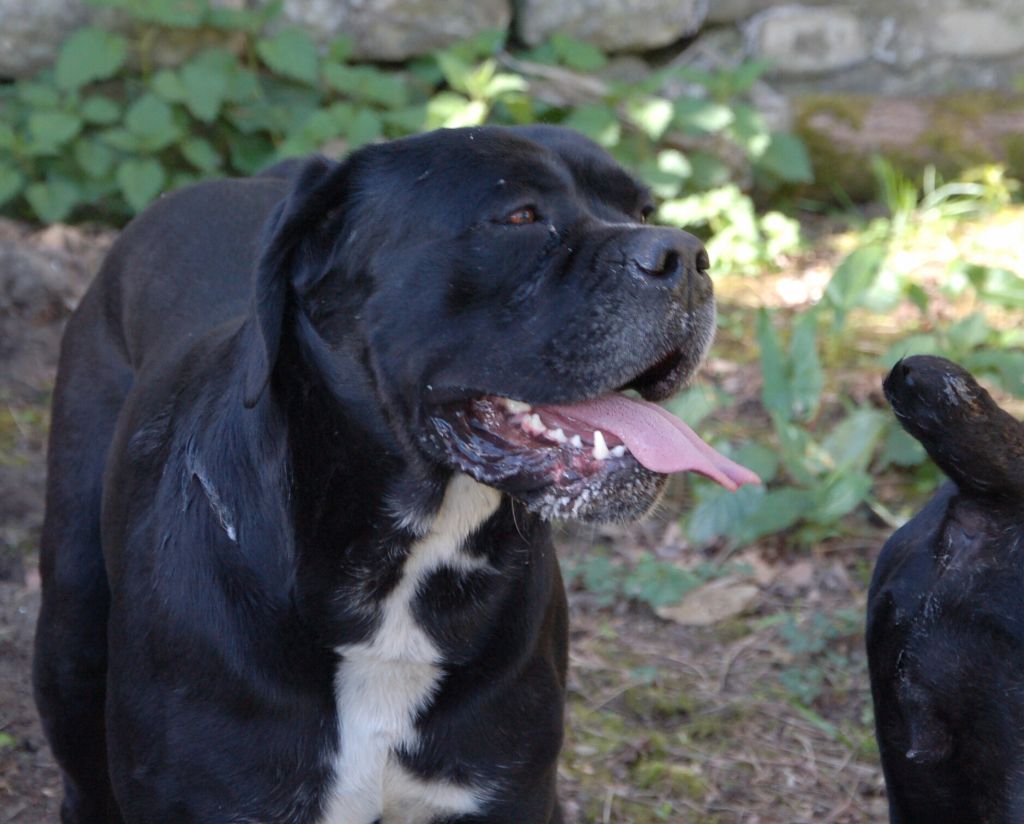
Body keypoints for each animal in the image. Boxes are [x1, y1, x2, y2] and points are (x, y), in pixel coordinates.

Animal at [33, 125, 758, 824]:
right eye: (520, 216)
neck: (399, 581)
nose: (686, 256)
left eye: (643, 210)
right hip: (71, 636)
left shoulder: (504, 795)